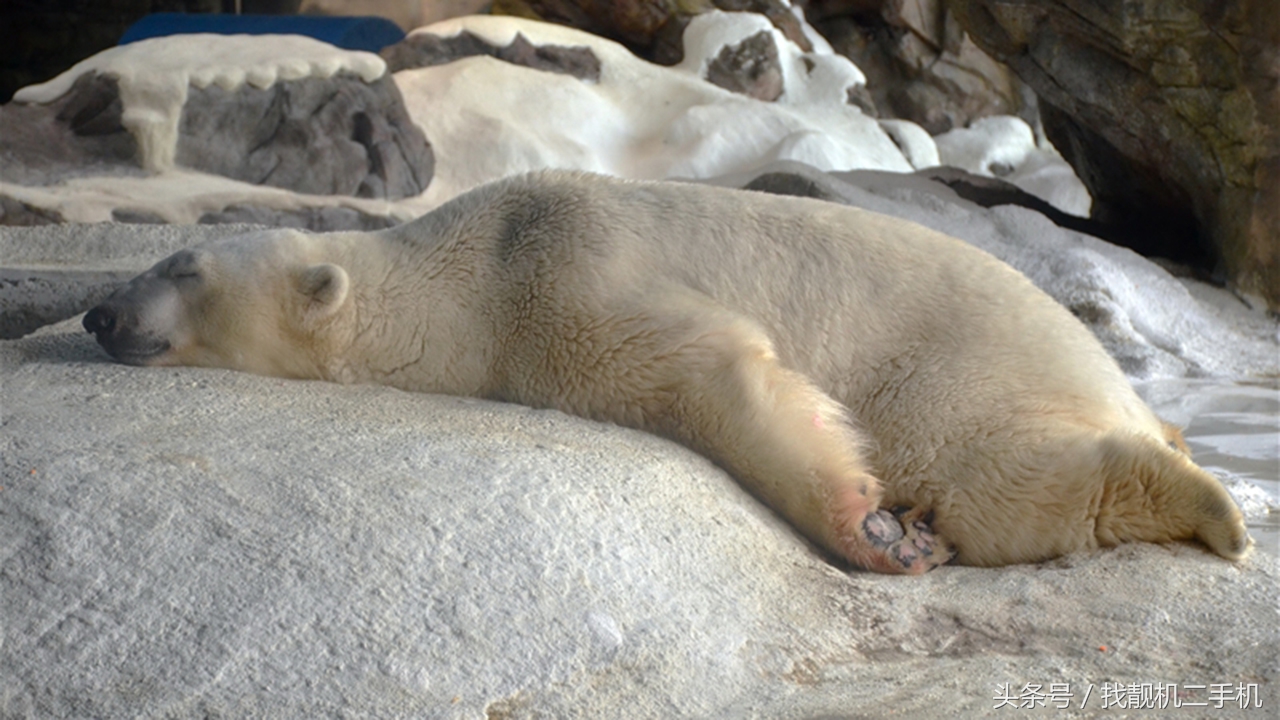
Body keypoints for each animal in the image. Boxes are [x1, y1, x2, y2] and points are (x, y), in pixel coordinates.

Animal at [85, 169, 1254, 571]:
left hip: (965, 366)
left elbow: (713, 365)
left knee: (1005, 481)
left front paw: (874, 532)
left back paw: (1210, 506)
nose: (98, 311)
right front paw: (889, 532)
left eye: (182, 267)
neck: (473, 260)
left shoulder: (567, 275)